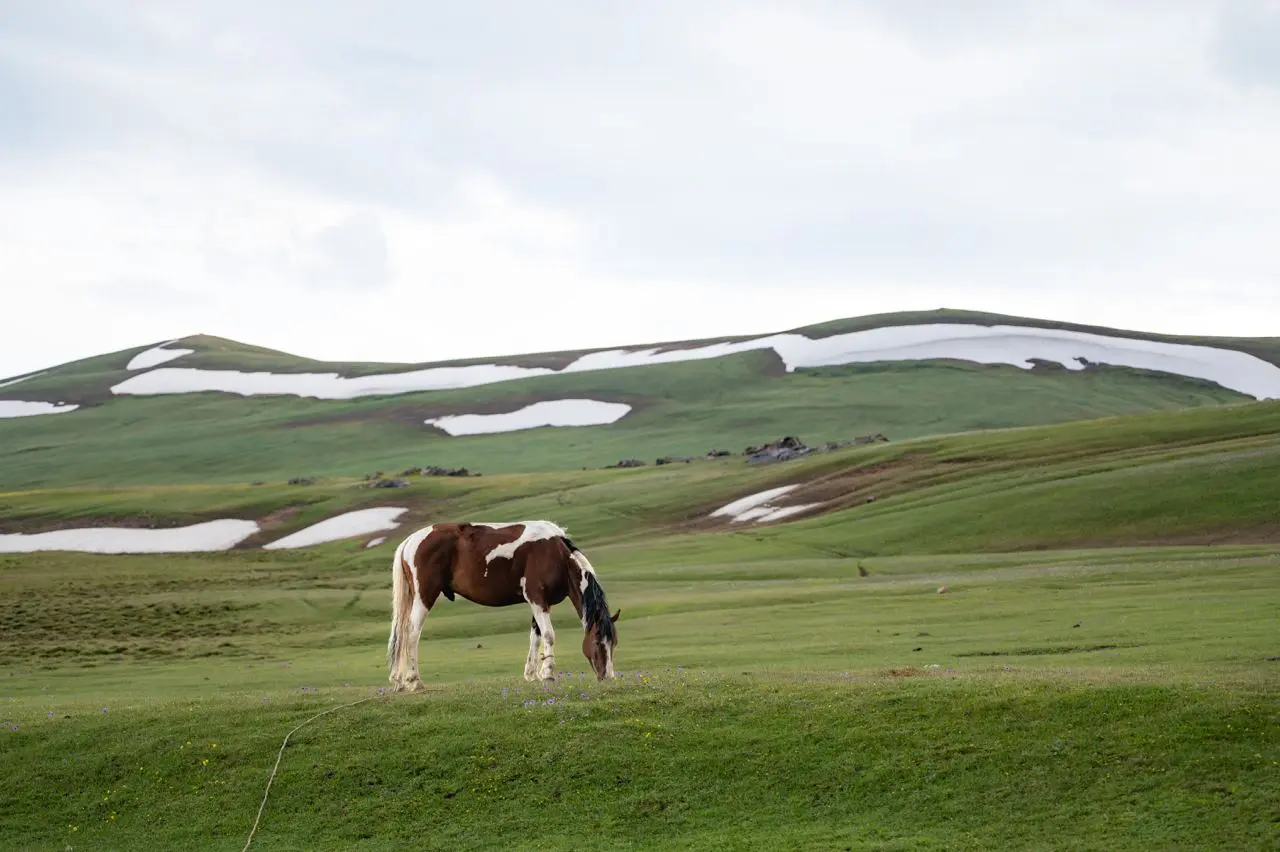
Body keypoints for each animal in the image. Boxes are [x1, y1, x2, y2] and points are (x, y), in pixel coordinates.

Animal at [386, 520, 620, 691]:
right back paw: (414, 681)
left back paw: (399, 681)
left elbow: (535, 637)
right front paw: (548, 674)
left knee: (403, 634)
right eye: (597, 641)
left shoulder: (538, 604)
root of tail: (410, 540)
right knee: (412, 633)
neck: (556, 555)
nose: (608, 676)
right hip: (425, 597)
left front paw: (532, 674)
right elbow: (548, 636)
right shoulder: (537, 599)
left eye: (614, 643)